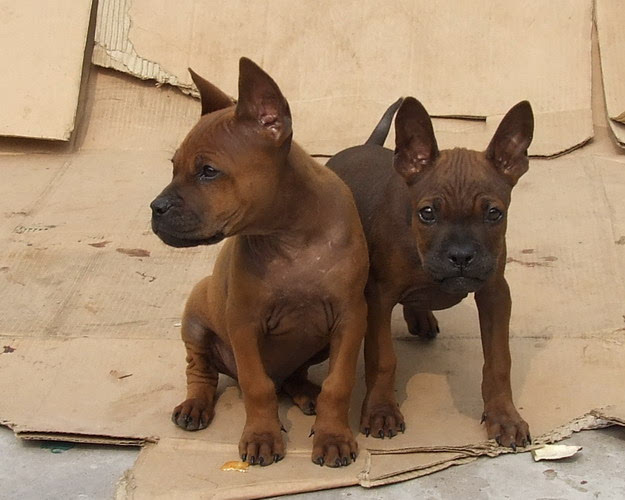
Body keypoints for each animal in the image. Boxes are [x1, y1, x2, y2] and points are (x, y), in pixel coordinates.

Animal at [149, 59, 368, 468]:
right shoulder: (244, 322)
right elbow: (257, 385)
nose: (156, 208)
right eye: (173, 168)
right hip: (196, 317)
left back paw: (305, 392)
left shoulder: (350, 318)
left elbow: (339, 383)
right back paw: (195, 405)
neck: (291, 237)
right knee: (200, 369)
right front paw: (262, 436)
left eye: (208, 171)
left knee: (293, 375)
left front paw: (332, 437)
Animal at [326, 97, 532, 450]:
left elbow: (498, 361)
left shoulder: (494, 293)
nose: (461, 256)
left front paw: (504, 416)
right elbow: (383, 358)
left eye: (495, 214)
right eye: (427, 213)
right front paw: (381, 411)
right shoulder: (379, 298)